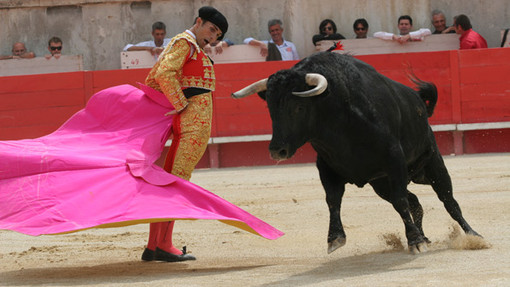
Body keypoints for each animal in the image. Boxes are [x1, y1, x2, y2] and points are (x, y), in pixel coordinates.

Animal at [233, 53, 480, 255]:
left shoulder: (394, 160)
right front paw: (335, 238)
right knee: (415, 202)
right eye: (270, 108)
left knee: (448, 200)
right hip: (382, 184)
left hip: (432, 163)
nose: (277, 150)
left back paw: (473, 235)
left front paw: (415, 242)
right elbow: (333, 200)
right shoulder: (326, 166)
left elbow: (402, 201)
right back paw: (425, 237)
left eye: (299, 107)